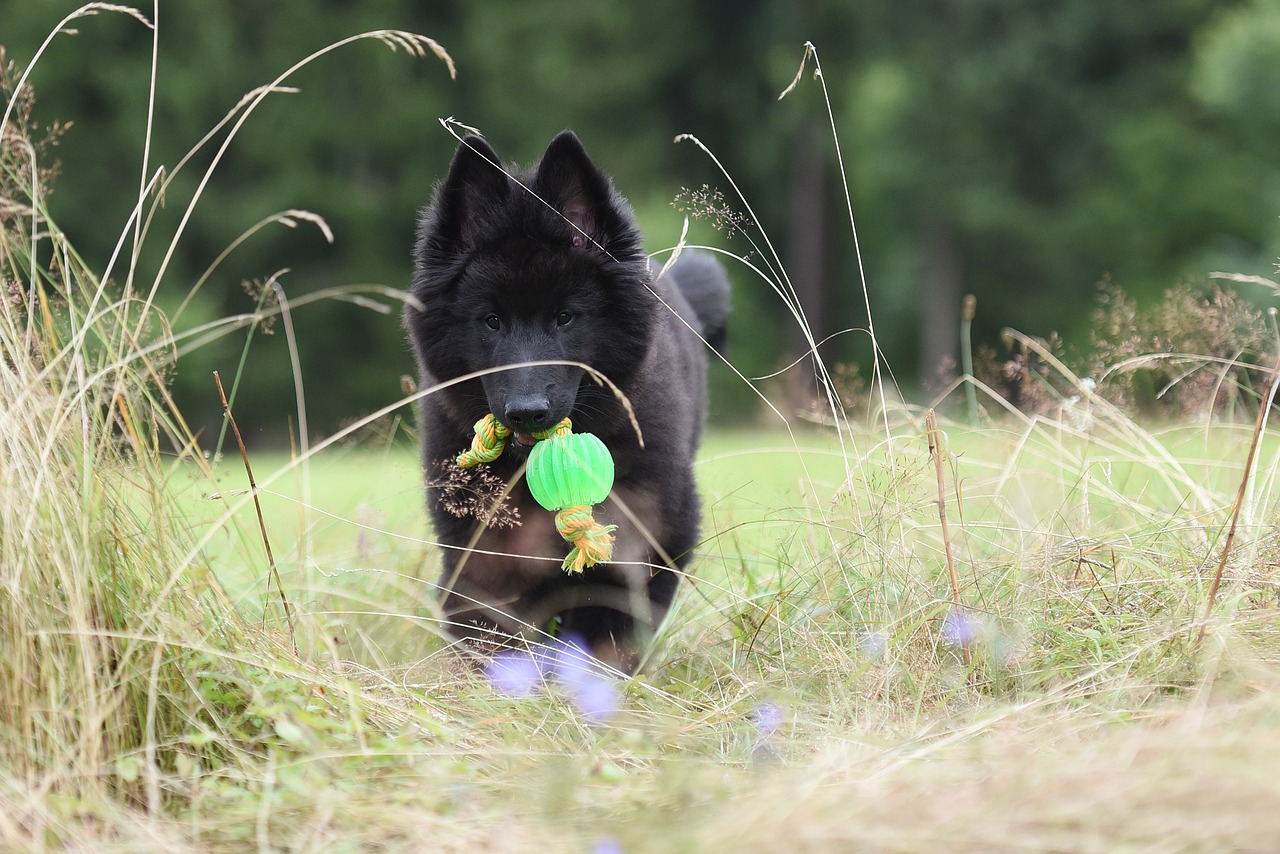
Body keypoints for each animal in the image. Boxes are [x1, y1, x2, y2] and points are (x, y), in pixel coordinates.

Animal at [409, 131, 732, 665]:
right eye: (491, 320)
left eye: (565, 317)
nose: (527, 412)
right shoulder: (485, 559)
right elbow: (492, 636)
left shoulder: (643, 540)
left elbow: (607, 634)